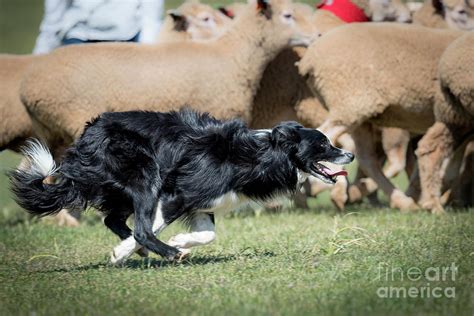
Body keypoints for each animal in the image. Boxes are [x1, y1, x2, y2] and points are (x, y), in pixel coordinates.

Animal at [10, 110, 352, 262]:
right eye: (323, 144)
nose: (349, 155)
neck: (261, 154)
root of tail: (86, 137)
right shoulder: (178, 194)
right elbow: (150, 228)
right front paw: (129, 252)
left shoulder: (203, 203)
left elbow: (208, 234)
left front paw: (181, 240)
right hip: (145, 176)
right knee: (139, 228)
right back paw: (165, 253)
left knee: (113, 219)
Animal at [21, 0, 318, 158]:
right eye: (287, 15)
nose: (315, 36)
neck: (233, 53)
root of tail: (29, 89)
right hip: (74, 118)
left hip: (50, 132)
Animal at [298, 22, 464, 210]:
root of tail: (309, 59)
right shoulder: (455, 118)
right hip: (352, 103)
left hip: (361, 116)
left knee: (366, 158)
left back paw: (399, 200)